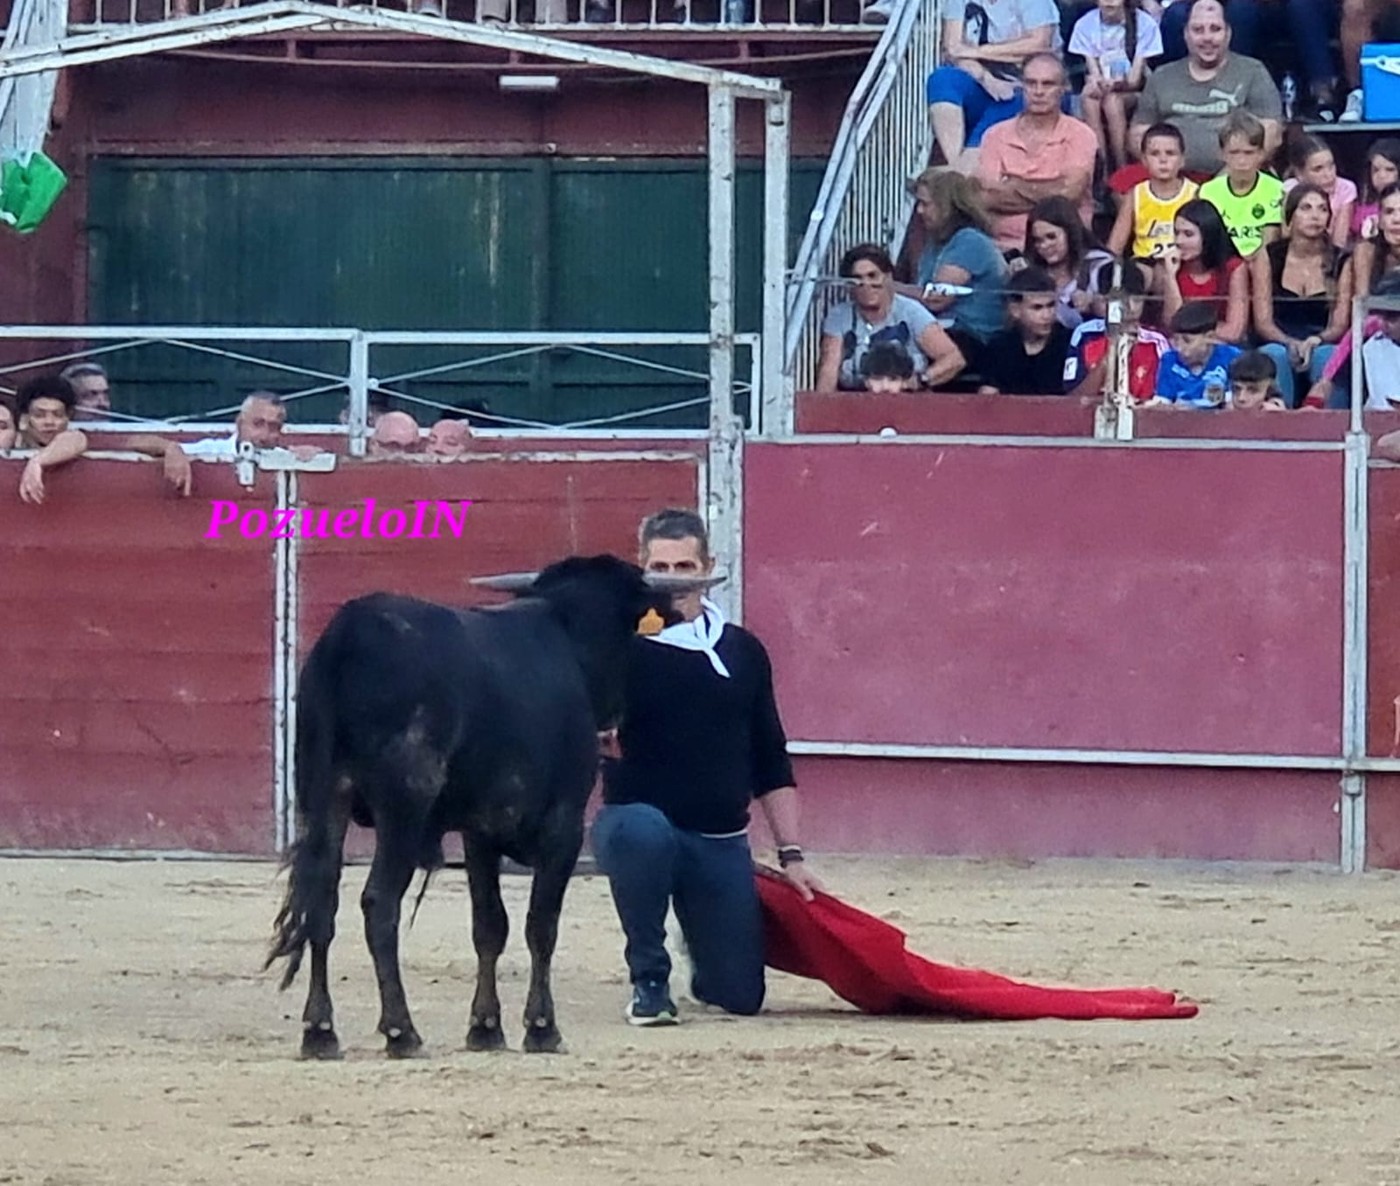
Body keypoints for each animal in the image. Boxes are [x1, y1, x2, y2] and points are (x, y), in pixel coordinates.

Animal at [263, 554, 700, 1058]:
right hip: (404, 806)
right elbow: (541, 924)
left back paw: (320, 1031)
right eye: (626, 631)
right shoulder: (565, 826)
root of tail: (346, 636)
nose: (613, 717)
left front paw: (486, 1027)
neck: (568, 630)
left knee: (321, 901)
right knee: (379, 902)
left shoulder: (479, 833)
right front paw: (541, 1027)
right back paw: (401, 1031)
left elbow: (489, 925)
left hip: (322, 798)